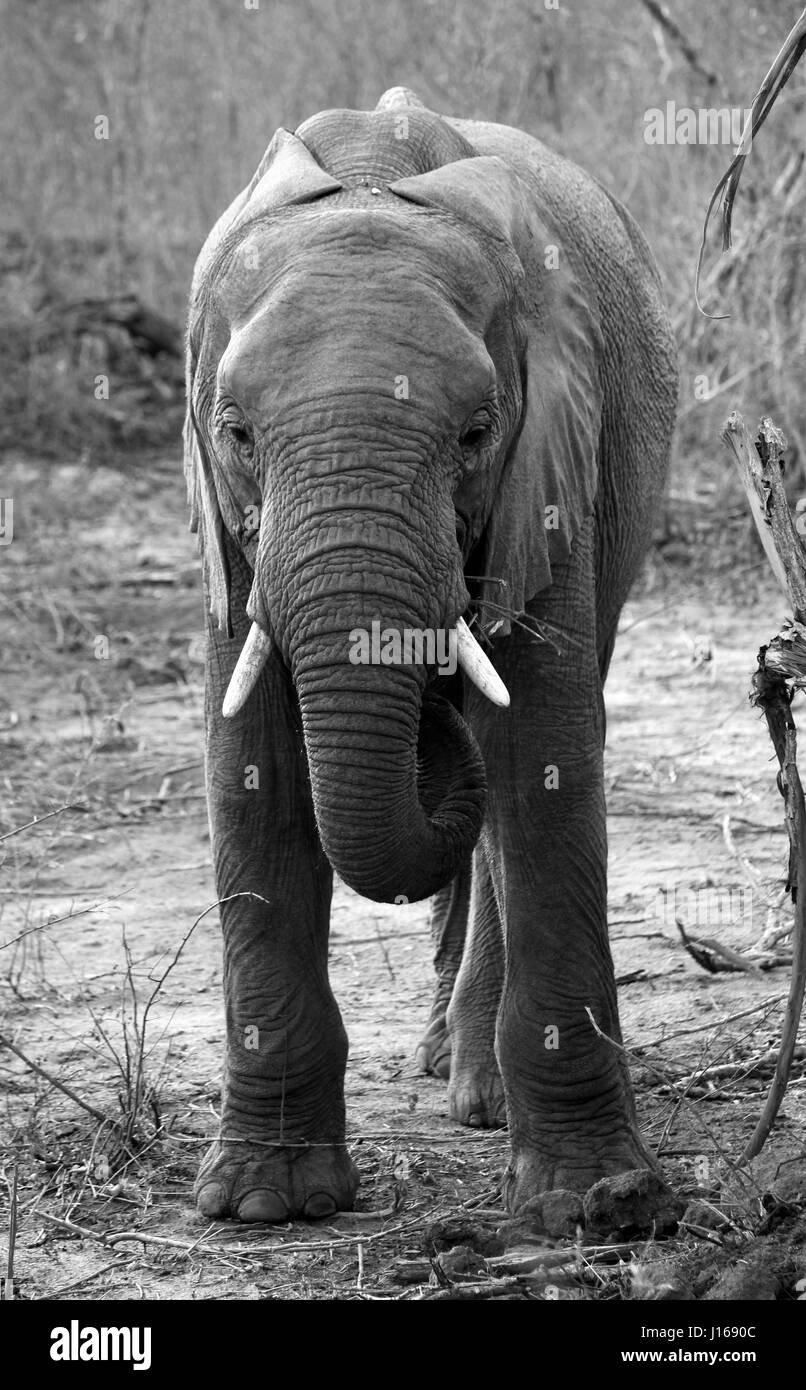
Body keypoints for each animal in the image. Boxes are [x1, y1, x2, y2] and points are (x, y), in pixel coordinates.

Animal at [183, 87, 679, 1223]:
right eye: (235, 432)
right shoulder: (230, 536)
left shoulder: (553, 468)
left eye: (477, 431)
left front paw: (591, 1205)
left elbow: (540, 755)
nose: (429, 713)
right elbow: (249, 768)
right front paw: (264, 1203)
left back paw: (477, 1091)